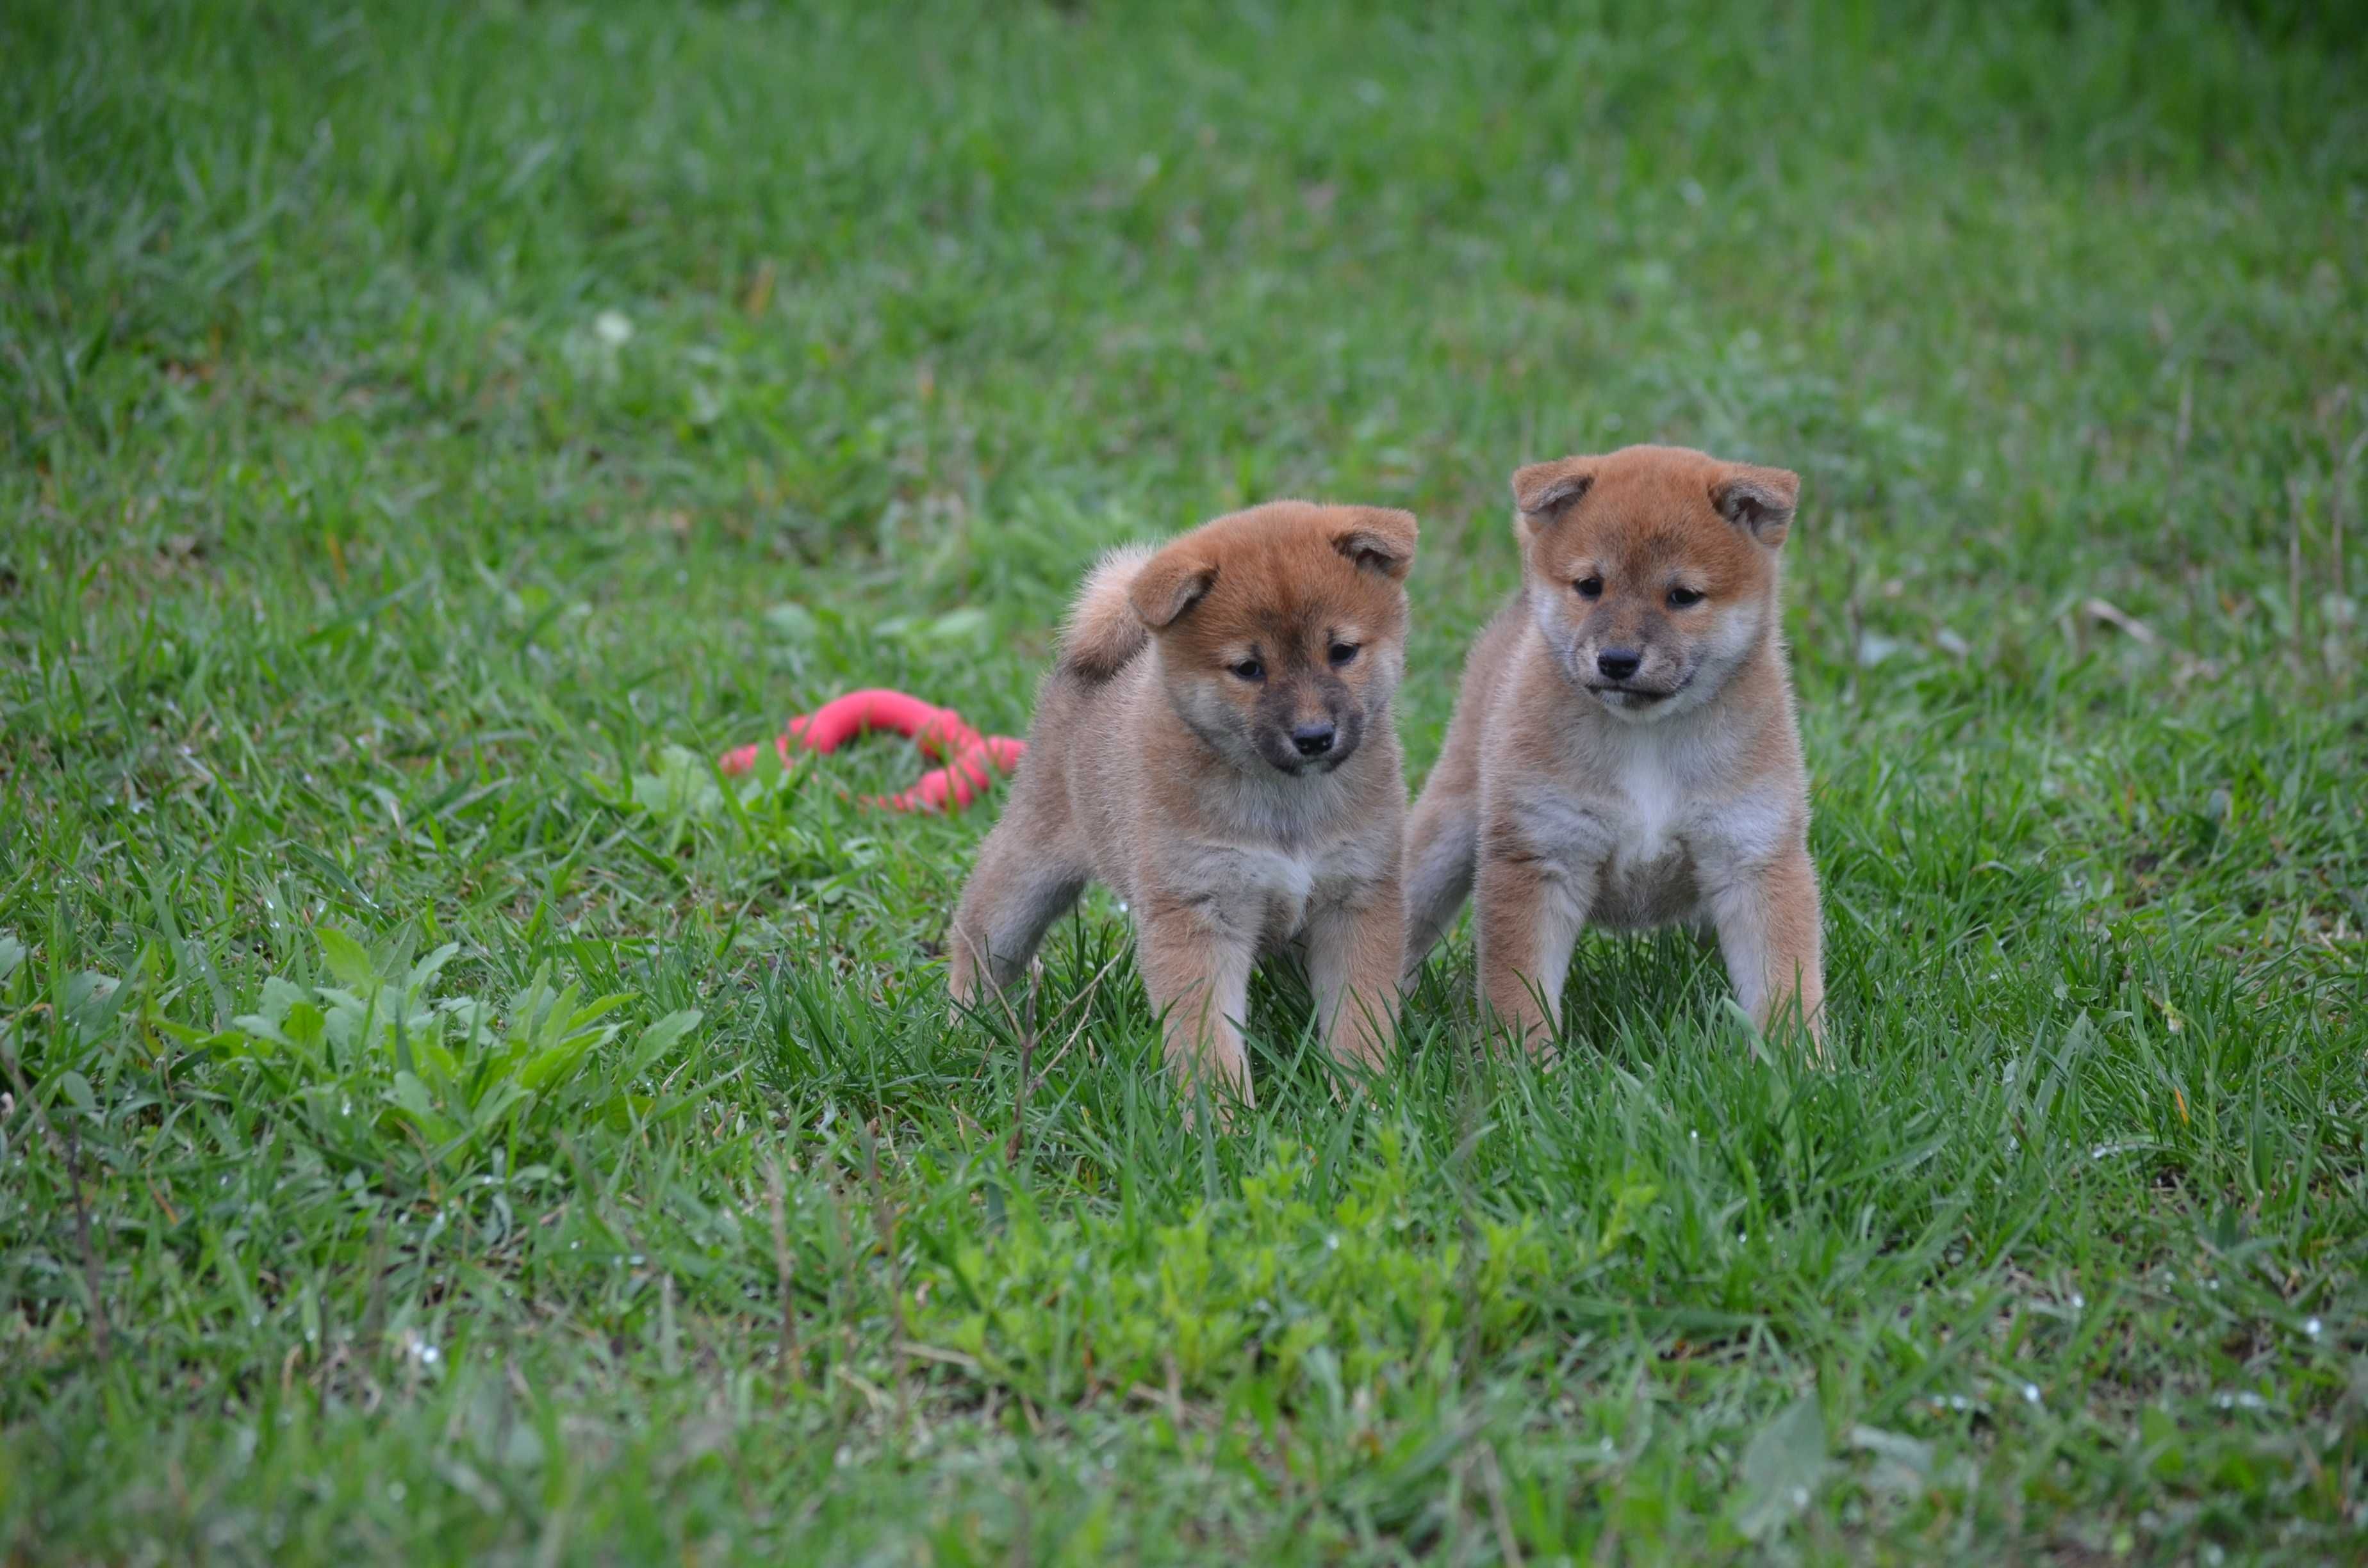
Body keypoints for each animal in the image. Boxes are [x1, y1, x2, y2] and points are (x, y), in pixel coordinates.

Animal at [947, 500, 1420, 1104]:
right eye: (1249, 668)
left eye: (1342, 652)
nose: (1314, 737)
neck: (1285, 803)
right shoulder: (1196, 911)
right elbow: (1208, 1041)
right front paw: (1223, 1117)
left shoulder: (1356, 896)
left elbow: (1359, 1021)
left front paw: (1366, 1100)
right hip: (1024, 880)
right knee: (977, 943)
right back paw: (962, 1027)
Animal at [1402, 443, 1828, 1056]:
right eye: (1589, 586)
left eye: (1682, 596)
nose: (1618, 660)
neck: (1645, 738)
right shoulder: (1541, 855)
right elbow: (1518, 995)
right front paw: (1524, 1071)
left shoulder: (1754, 854)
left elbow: (1785, 985)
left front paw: (1798, 1065)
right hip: (1446, 837)